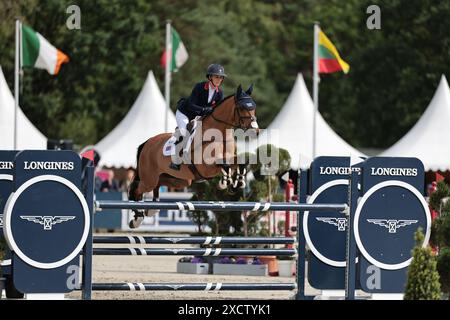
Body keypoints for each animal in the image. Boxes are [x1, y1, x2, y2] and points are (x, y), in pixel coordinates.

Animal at [128, 85, 258, 228]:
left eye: (253, 107)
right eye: (242, 107)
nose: (255, 131)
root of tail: (147, 143)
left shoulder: (230, 158)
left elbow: (240, 162)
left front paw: (237, 184)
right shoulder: (205, 166)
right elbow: (223, 164)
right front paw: (224, 184)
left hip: (179, 180)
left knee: (158, 184)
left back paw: (151, 209)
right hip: (149, 179)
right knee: (137, 189)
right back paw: (137, 218)